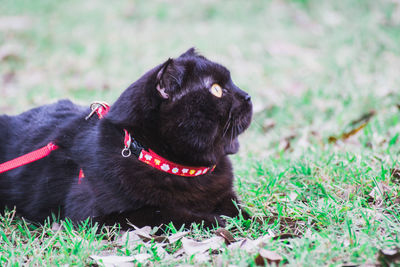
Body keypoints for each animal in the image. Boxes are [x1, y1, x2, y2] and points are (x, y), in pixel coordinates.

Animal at [0, 49, 252, 229]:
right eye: (216, 89)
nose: (248, 96)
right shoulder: (96, 215)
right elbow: (165, 212)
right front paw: (215, 221)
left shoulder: (226, 197)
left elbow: (243, 211)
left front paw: (255, 222)